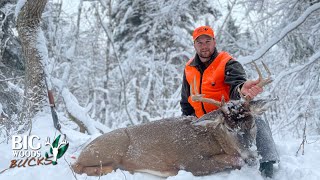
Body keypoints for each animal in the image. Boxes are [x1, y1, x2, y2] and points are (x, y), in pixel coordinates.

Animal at [72, 62, 272, 177]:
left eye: (252, 124)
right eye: (229, 128)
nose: (252, 155)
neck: (213, 139)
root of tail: (83, 151)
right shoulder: (192, 161)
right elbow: (234, 161)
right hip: (110, 149)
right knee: (78, 167)